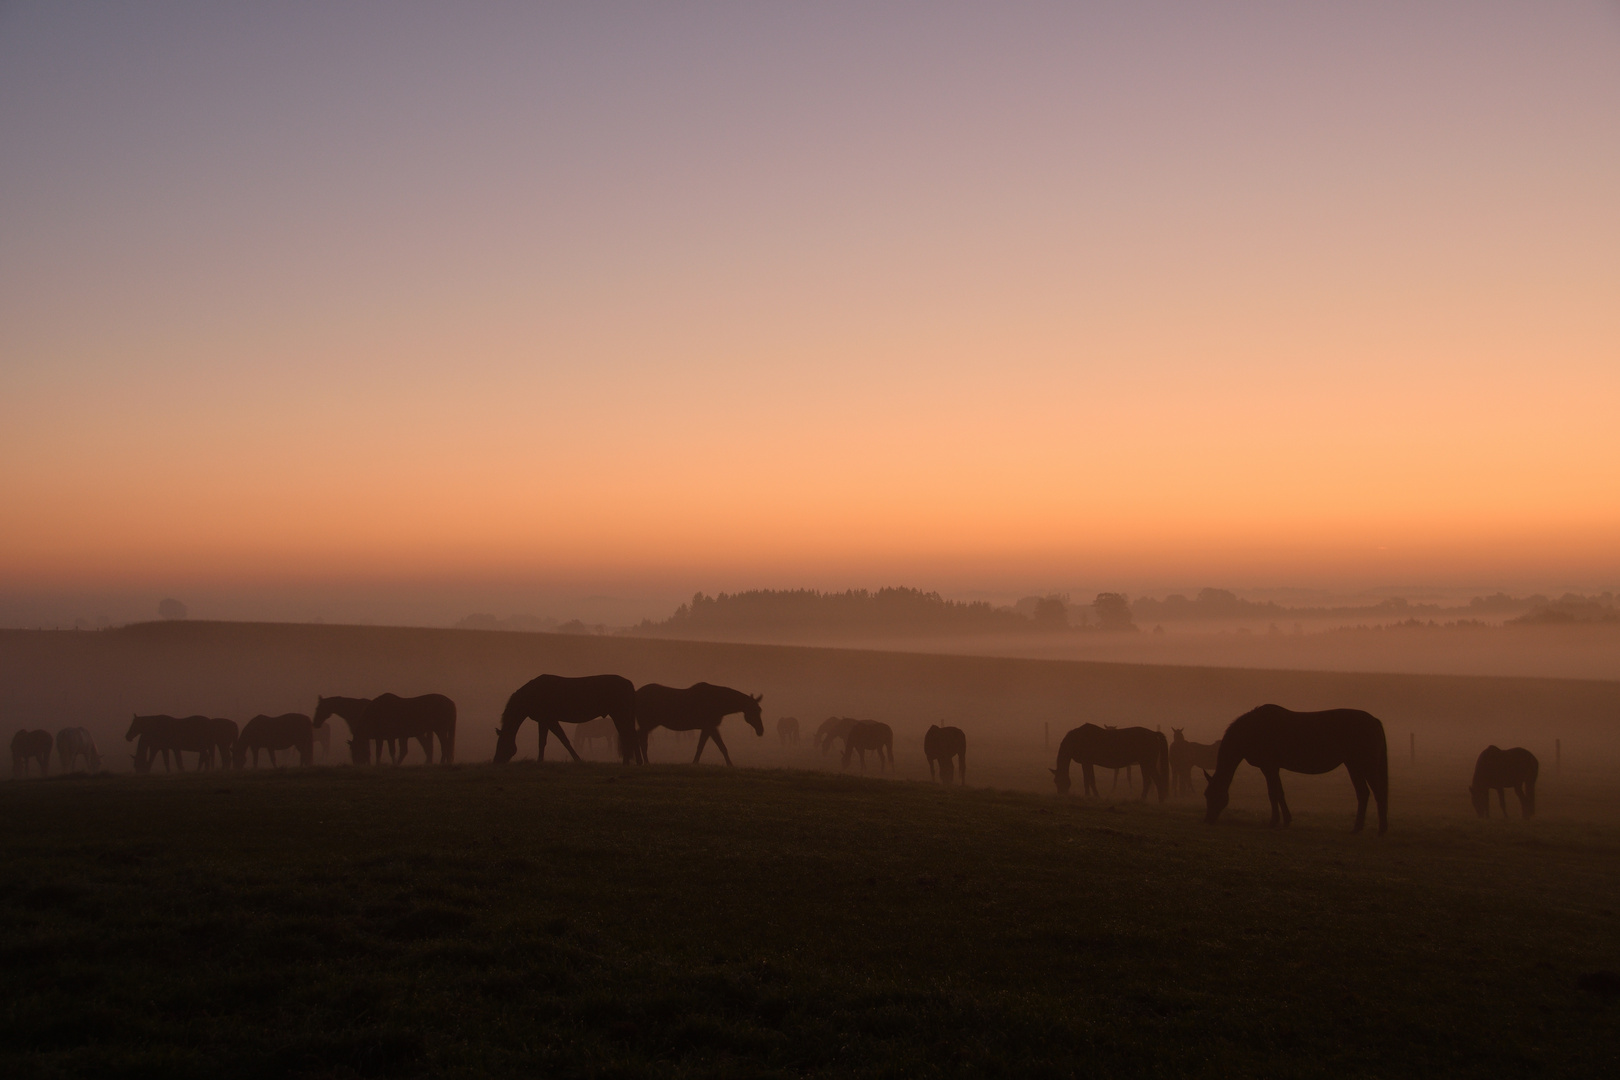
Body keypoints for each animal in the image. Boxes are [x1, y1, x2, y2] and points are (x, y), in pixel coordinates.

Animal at [489, 676, 635, 767]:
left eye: (501, 744)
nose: (496, 761)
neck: (531, 695)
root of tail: (628, 683)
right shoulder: (546, 721)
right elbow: (552, 741)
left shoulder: (549, 719)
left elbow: (556, 741)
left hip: (619, 714)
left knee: (626, 736)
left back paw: (626, 762)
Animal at [628, 680, 761, 764]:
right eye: (753, 710)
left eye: (759, 710)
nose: (761, 730)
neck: (717, 701)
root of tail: (636, 694)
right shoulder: (709, 727)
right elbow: (713, 746)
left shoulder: (709, 728)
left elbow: (710, 746)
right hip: (648, 724)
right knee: (642, 740)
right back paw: (645, 761)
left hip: (649, 725)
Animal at [1211, 705, 1386, 841]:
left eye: (1209, 795)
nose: (1208, 819)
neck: (1251, 729)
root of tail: (1374, 720)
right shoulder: (1271, 768)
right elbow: (1277, 793)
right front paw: (1283, 820)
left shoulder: (1269, 767)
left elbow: (1275, 793)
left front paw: (1276, 821)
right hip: (1353, 765)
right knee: (1363, 793)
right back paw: (1357, 828)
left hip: (1366, 765)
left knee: (1378, 793)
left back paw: (1381, 830)